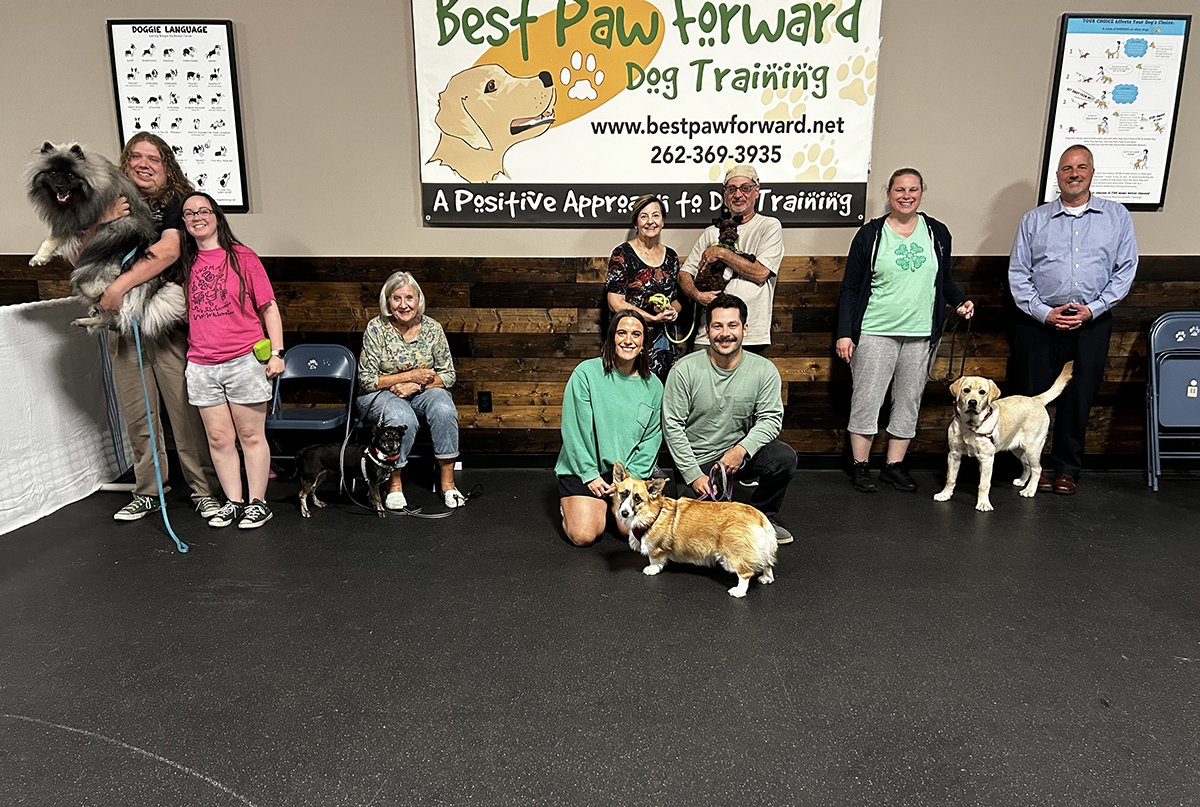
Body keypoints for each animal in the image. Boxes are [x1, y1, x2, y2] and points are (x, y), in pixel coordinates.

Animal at [27, 140, 184, 336]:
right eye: (53, 173)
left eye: (70, 174)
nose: (59, 187)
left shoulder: (76, 221)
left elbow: (51, 239)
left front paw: (39, 258)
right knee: (108, 316)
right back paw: (85, 320)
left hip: (85, 280)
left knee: (110, 309)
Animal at [609, 461, 777, 598]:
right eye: (623, 493)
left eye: (637, 498)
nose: (624, 512)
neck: (653, 513)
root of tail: (760, 518)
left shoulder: (656, 547)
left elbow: (655, 559)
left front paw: (652, 569)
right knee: (768, 563)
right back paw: (766, 578)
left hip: (734, 553)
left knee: (745, 573)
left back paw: (738, 591)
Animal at [931, 365, 1075, 513]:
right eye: (966, 390)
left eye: (982, 392)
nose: (972, 402)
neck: (970, 426)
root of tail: (1036, 399)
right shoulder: (954, 454)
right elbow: (950, 478)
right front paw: (945, 494)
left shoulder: (987, 458)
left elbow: (984, 483)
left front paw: (983, 503)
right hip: (1018, 450)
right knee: (1027, 465)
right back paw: (1022, 481)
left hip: (1033, 449)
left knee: (1037, 469)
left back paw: (1029, 490)